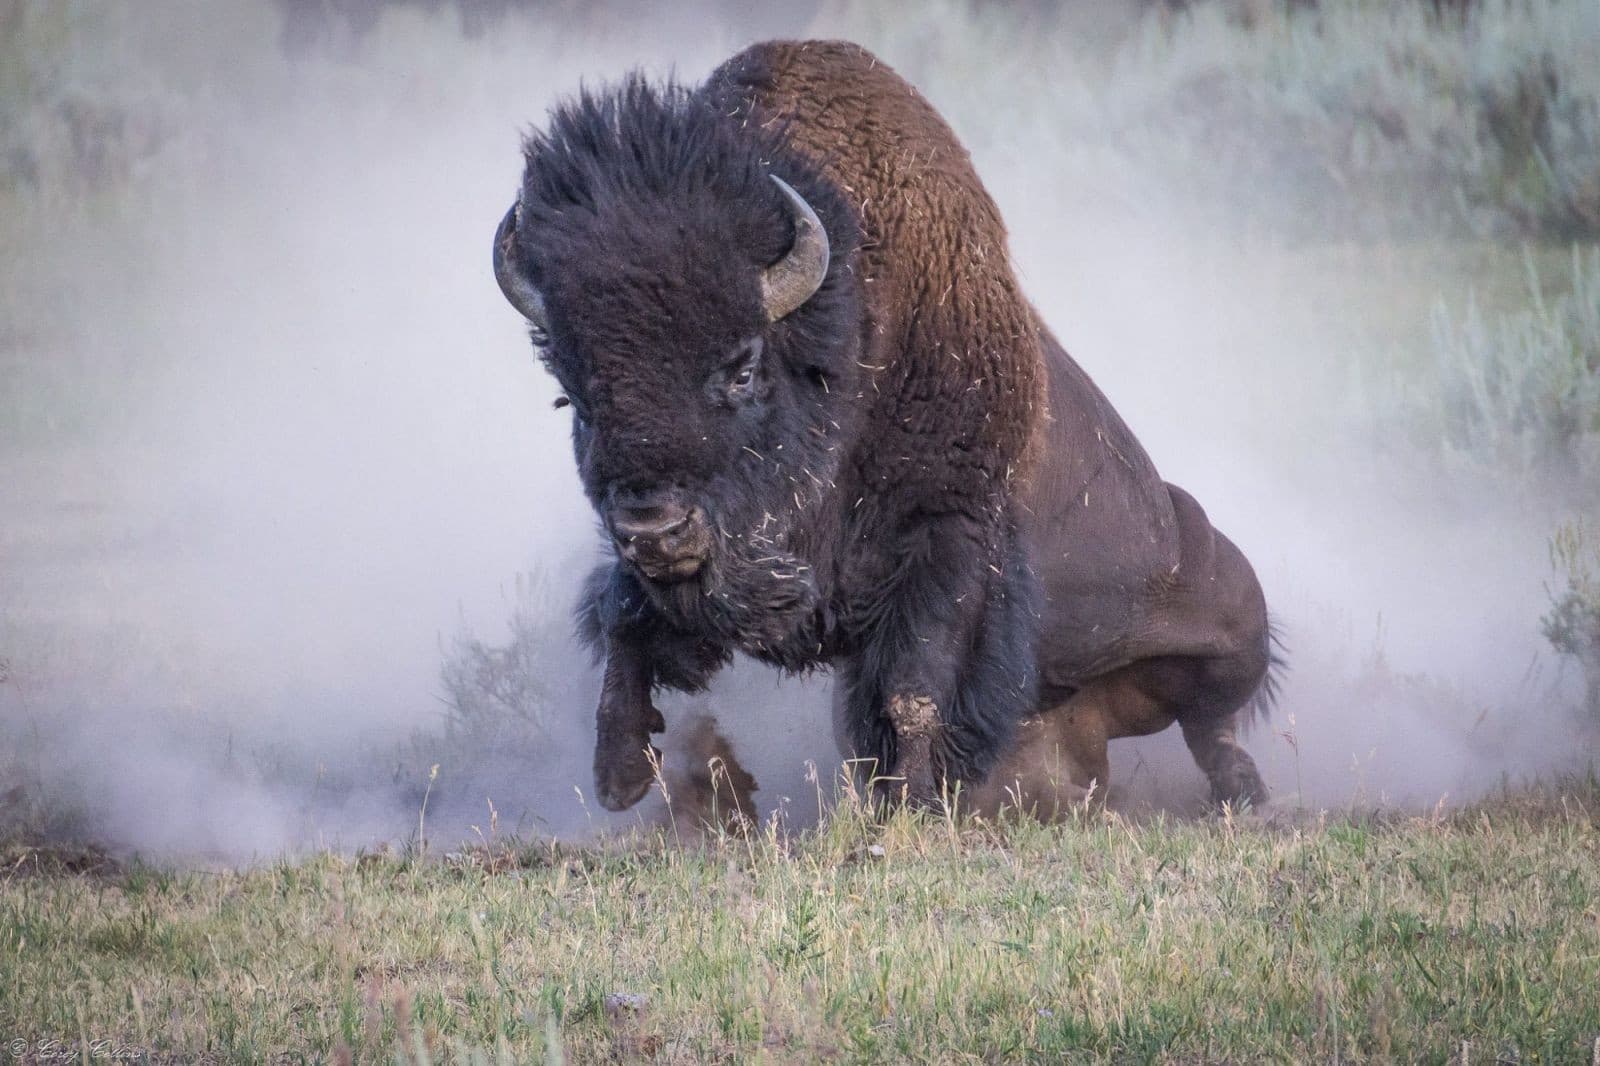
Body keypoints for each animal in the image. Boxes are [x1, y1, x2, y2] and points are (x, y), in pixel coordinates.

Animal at [493, 40, 1279, 813]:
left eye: (742, 367)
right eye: (574, 393)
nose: (655, 530)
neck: (851, 338)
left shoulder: (945, 543)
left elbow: (914, 688)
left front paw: (914, 804)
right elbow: (621, 617)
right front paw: (620, 774)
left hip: (1234, 625)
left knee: (1212, 716)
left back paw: (1241, 789)